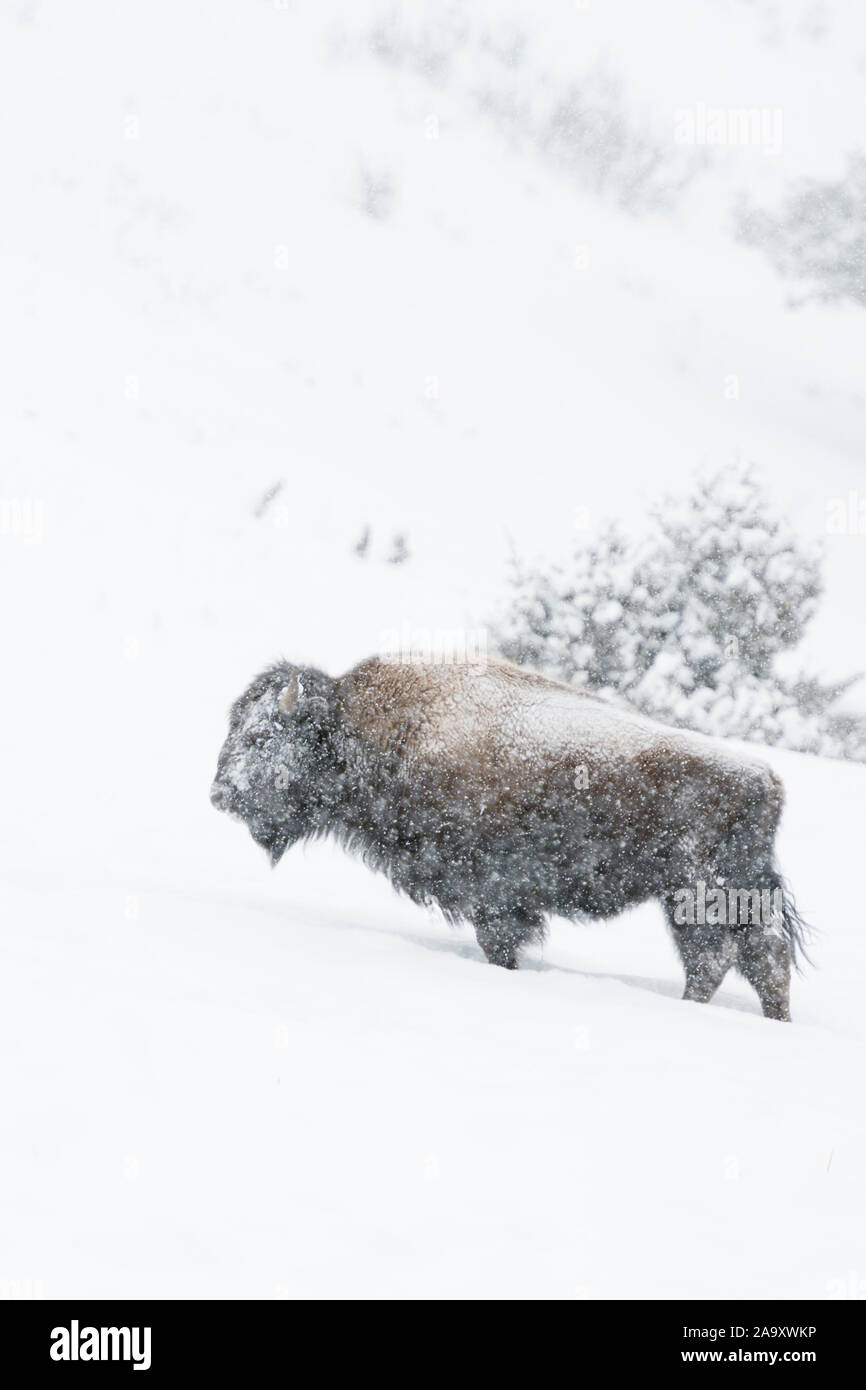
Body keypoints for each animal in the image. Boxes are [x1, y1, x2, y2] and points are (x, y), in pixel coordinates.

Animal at [211, 650, 811, 1023]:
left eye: (261, 736)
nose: (219, 794)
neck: (369, 729)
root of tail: (766, 779)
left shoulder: (493, 894)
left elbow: (498, 941)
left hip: (695, 893)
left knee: (715, 959)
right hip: (734, 896)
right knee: (764, 960)